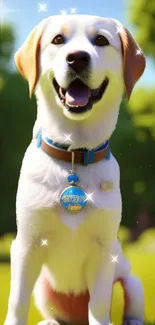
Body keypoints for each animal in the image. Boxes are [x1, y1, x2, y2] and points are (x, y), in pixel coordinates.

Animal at [4, 15, 146, 325]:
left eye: (101, 40)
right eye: (58, 39)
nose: (77, 58)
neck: (73, 153)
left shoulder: (105, 250)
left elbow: (100, 303)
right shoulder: (26, 244)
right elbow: (17, 301)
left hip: (132, 280)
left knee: (128, 302)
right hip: (43, 287)